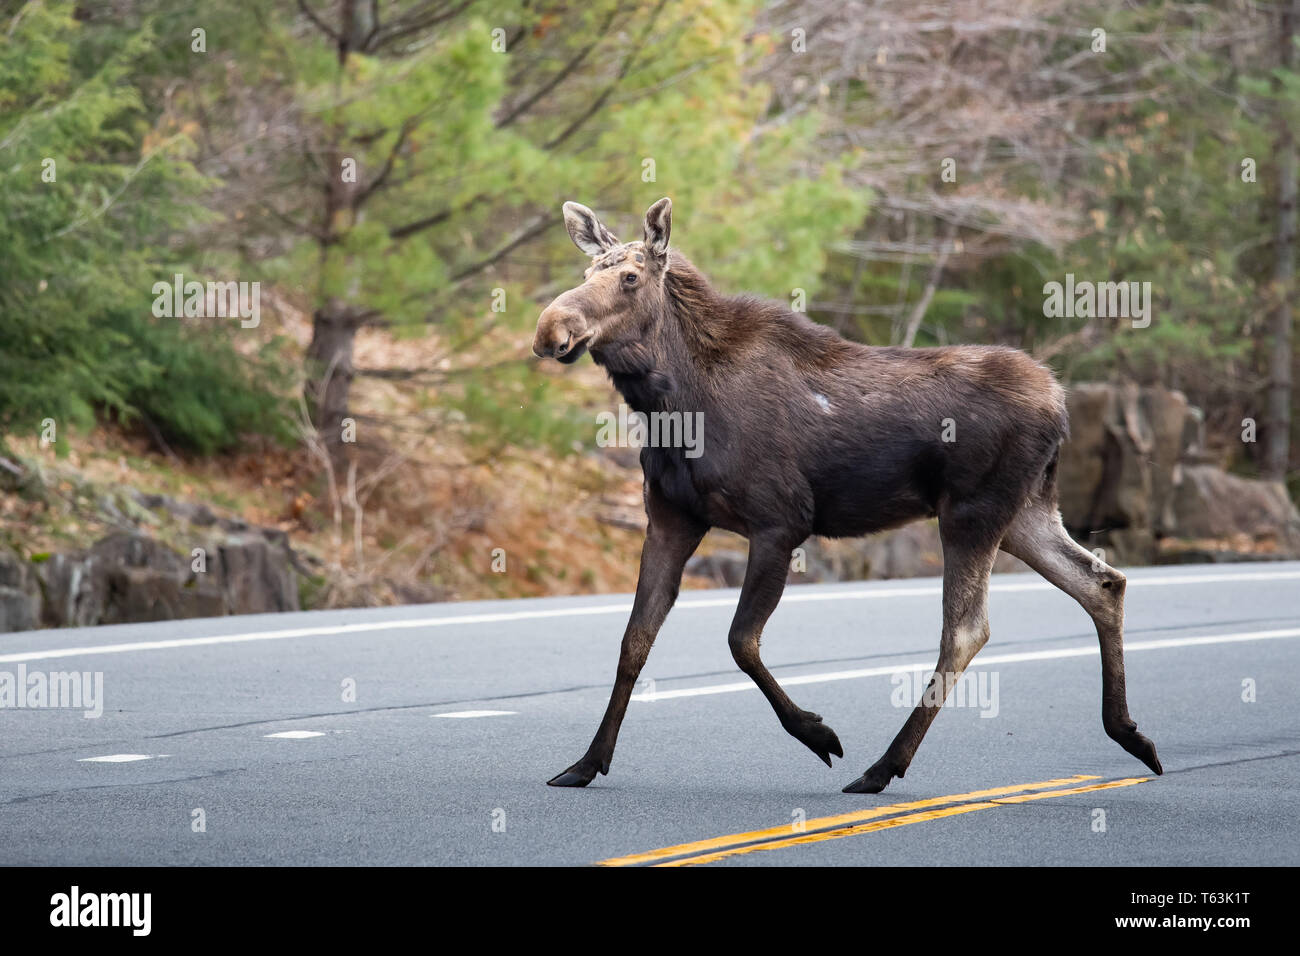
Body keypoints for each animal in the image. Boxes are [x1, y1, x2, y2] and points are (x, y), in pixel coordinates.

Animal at [533, 196, 1164, 790]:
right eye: (586, 272)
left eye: (629, 277)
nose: (549, 328)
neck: (673, 405)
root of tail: (1060, 402)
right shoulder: (671, 518)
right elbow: (633, 641)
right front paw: (587, 762)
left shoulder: (781, 520)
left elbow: (741, 641)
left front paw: (818, 733)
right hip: (1024, 514)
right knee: (1102, 582)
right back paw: (1130, 733)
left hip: (973, 511)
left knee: (966, 629)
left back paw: (883, 767)